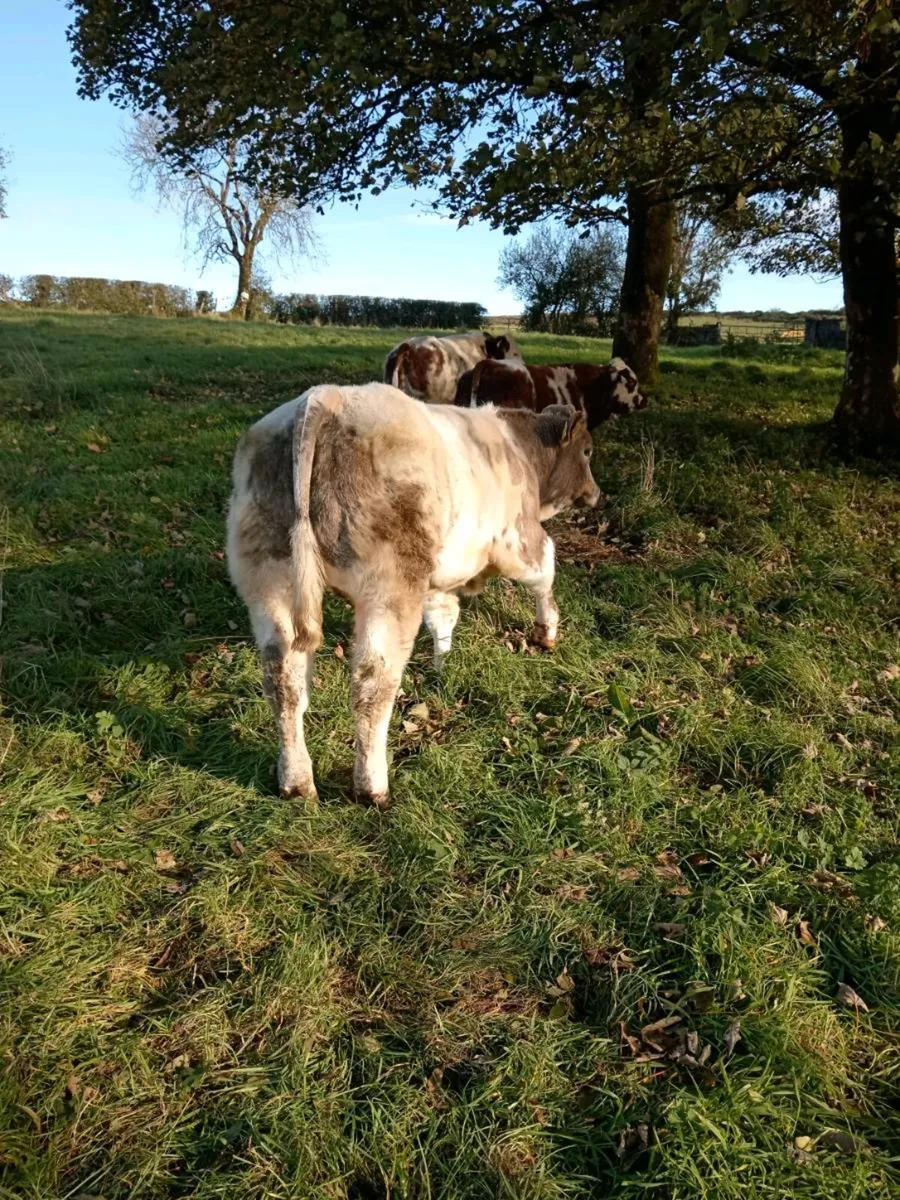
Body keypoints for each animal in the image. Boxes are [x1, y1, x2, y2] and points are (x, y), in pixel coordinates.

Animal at [227, 381, 600, 809]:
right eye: (587, 451)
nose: (595, 494)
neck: (517, 447)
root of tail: (326, 397)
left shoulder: (438, 577)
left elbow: (443, 615)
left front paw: (442, 665)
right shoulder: (519, 539)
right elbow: (545, 570)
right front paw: (546, 632)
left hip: (270, 580)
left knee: (283, 681)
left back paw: (296, 782)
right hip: (387, 589)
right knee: (373, 683)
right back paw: (373, 787)